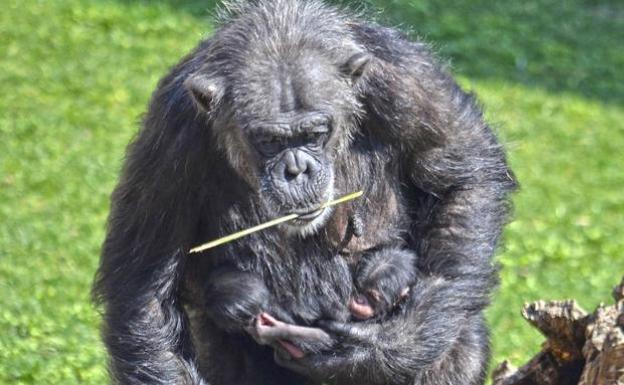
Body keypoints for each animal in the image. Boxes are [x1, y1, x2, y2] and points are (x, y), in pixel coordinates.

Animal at [94, 0, 516, 384]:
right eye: (268, 141)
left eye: (315, 133)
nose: (296, 169)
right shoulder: (171, 132)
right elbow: (143, 287)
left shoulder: (404, 80)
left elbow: (463, 173)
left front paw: (379, 349)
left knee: (456, 336)